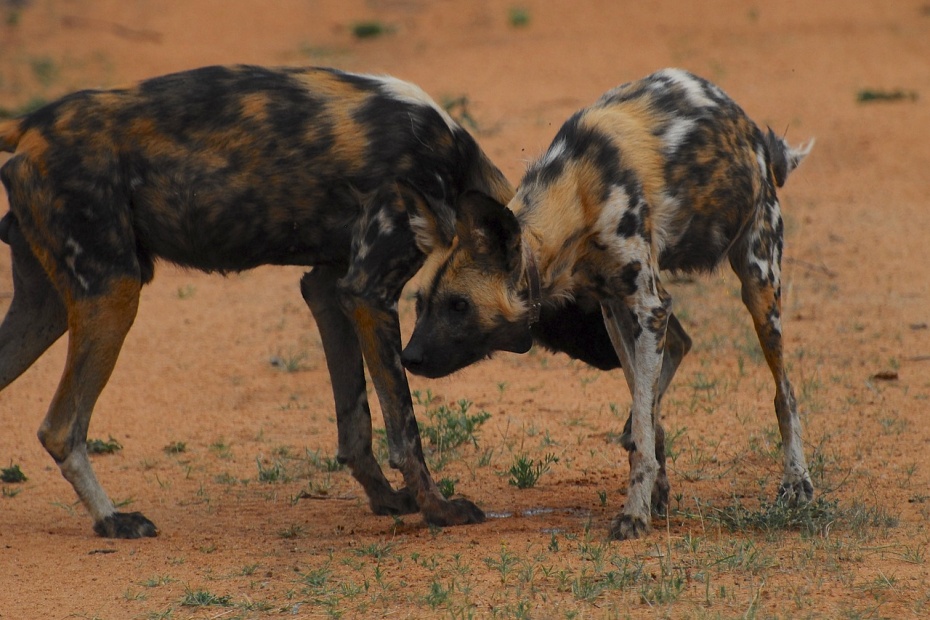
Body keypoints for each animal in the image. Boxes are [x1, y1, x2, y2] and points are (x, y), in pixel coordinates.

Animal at [0, 64, 520, 536]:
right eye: (445, 304)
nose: (415, 358)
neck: (450, 164)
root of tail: (32, 124)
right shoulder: (369, 293)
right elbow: (405, 428)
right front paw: (438, 510)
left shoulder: (330, 289)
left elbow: (355, 422)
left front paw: (387, 500)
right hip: (113, 294)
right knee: (60, 428)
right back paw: (112, 520)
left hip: (48, 308)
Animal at [402, 69, 808, 536]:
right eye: (419, 304)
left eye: (458, 306)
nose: (408, 357)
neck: (577, 193)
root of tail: (752, 132)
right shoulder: (616, 309)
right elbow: (643, 414)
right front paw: (650, 489)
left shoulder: (648, 307)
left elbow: (643, 431)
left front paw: (634, 514)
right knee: (680, 360)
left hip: (759, 286)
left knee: (785, 393)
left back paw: (797, 483)